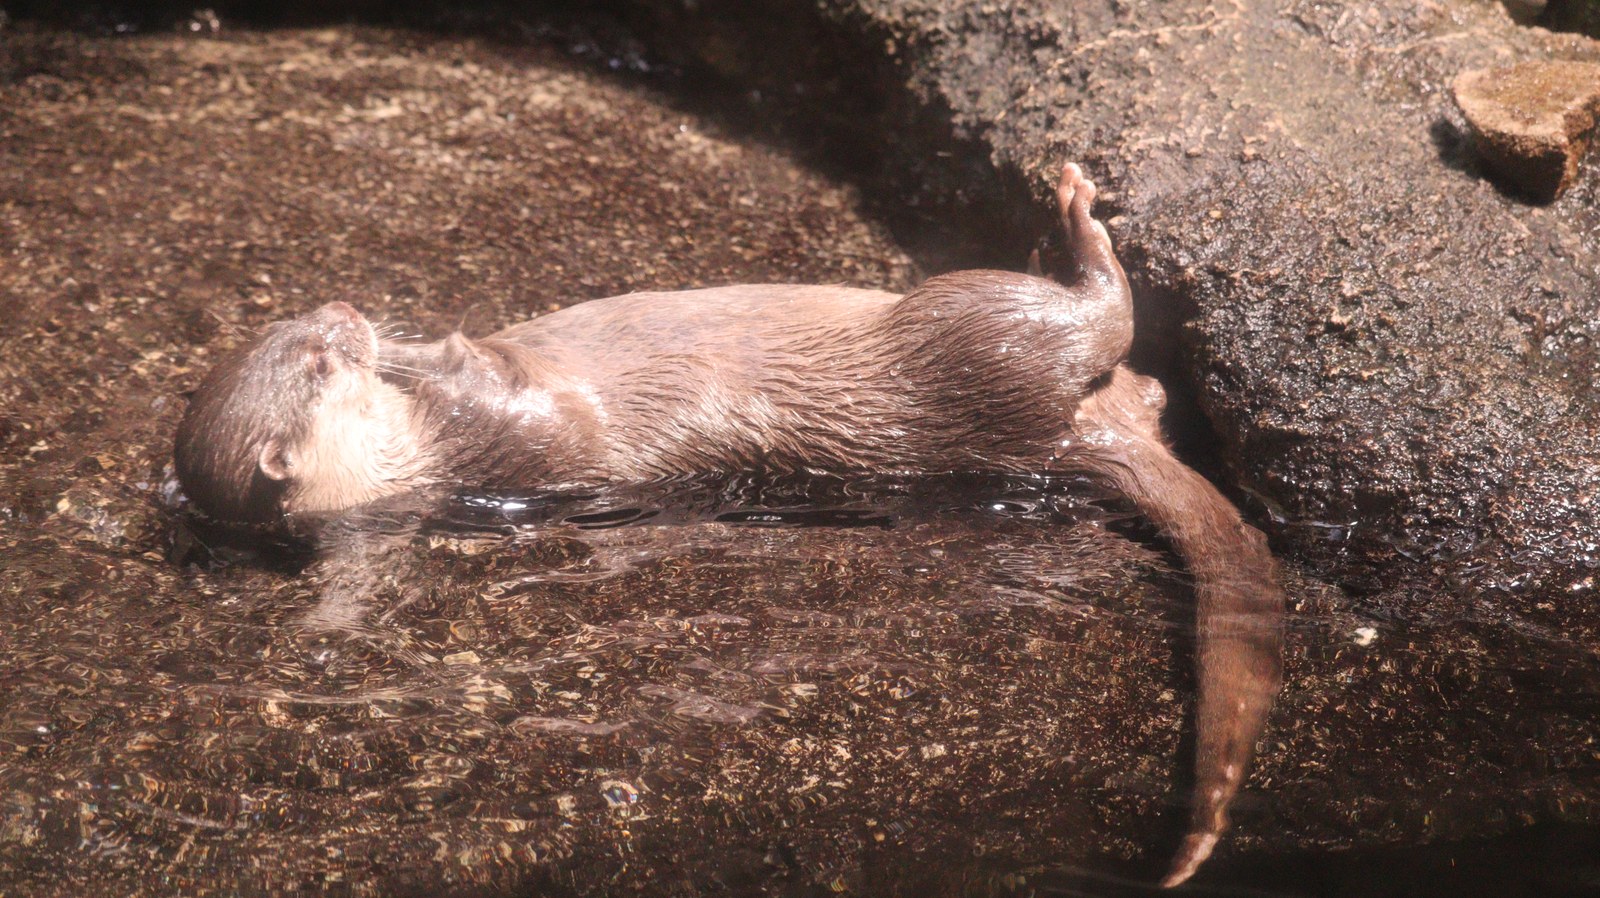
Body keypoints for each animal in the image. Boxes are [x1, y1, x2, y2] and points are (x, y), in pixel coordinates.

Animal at [174, 163, 1282, 887]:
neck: (426, 461)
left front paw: (410, 340)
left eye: (298, 330)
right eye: (316, 363)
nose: (342, 309)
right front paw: (419, 352)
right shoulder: (517, 440)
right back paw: (1075, 220)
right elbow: (515, 388)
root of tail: (1078, 435)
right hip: (970, 340)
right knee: (1092, 317)